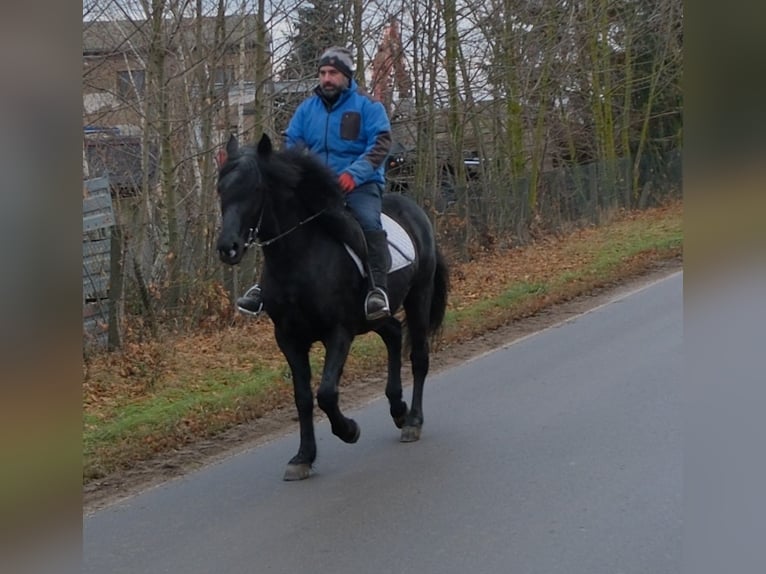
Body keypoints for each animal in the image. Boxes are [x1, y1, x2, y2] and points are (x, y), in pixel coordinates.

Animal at [215, 134, 449, 480]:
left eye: (255, 189)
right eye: (221, 189)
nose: (227, 247)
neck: (298, 259)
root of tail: (416, 211)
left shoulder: (338, 332)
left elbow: (326, 393)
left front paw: (349, 430)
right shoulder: (288, 339)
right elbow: (302, 398)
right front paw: (303, 457)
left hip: (418, 297)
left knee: (418, 356)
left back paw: (413, 421)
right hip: (375, 317)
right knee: (394, 333)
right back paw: (398, 409)